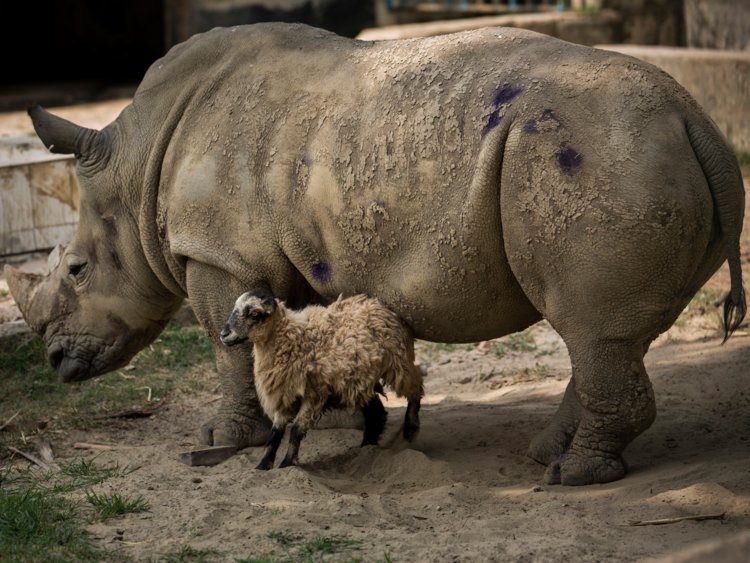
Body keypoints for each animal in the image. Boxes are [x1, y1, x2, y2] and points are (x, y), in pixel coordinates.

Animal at [220, 290, 426, 472]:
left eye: (254, 314)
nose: (223, 334)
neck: (293, 338)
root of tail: (379, 305)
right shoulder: (285, 395)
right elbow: (275, 434)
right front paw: (263, 465)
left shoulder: (315, 392)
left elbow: (295, 430)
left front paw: (287, 463)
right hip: (360, 379)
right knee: (376, 411)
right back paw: (367, 447)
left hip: (399, 363)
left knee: (416, 385)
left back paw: (410, 427)